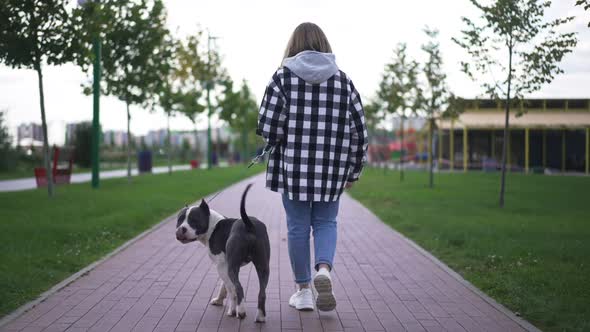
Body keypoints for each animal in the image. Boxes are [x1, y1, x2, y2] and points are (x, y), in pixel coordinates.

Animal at [173, 184, 270, 322]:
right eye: (179, 220)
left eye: (194, 220)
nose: (181, 229)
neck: (212, 226)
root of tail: (249, 225)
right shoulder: (226, 266)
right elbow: (224, 285)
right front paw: (219, 300)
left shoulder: (222, 266)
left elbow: (231, 289)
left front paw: (232, 309)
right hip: (263, 266)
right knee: (262, 292)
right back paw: (260, 316)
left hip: (234, 268)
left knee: (238, 288)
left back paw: (240, 311)